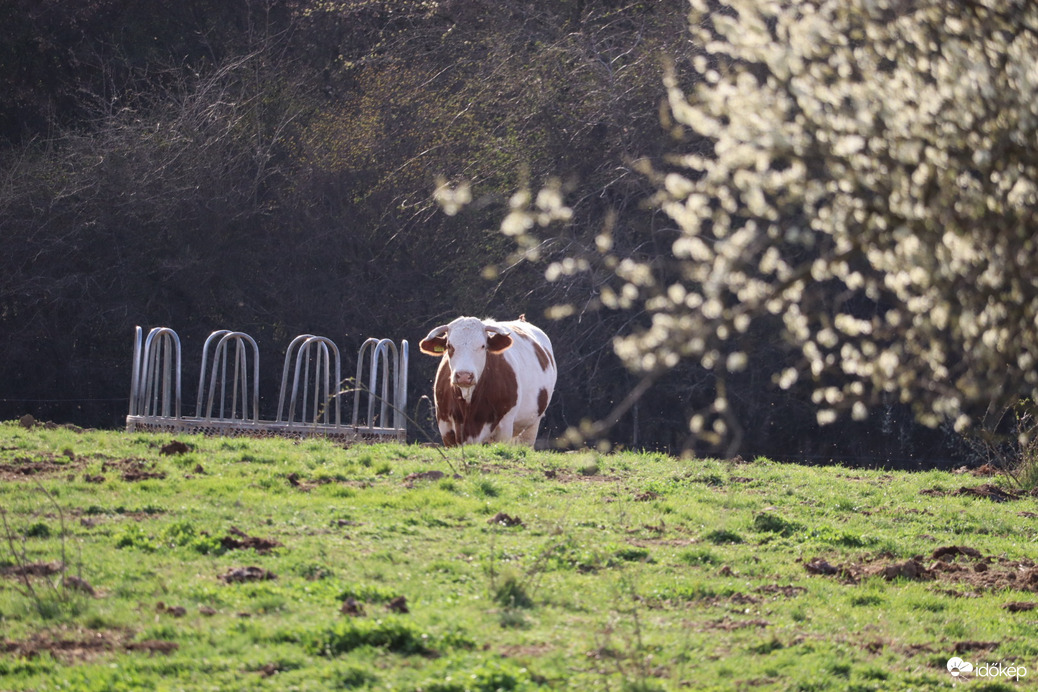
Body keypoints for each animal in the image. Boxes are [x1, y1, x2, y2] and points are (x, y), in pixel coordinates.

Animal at [417, 315, 556, 446]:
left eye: (483, 346)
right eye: (449, 346)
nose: (464, 375)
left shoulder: (505, 426)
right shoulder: (445, 427)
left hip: (531, 426)